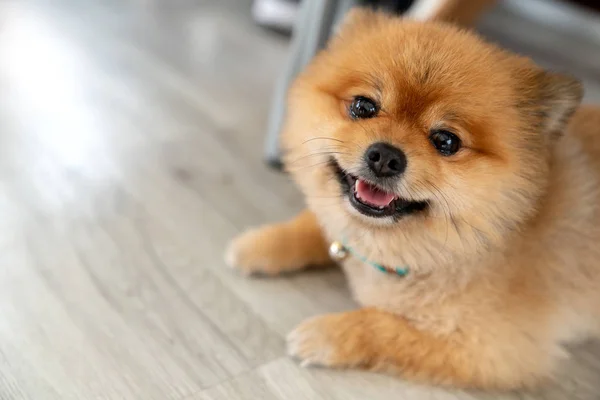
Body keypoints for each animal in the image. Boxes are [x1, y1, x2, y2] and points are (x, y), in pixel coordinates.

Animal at [226, 8, 600, 390]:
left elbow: (383, 327)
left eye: (446, 141)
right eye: (363, 106)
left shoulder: (491, 349)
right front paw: (260, 244)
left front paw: (326, 334)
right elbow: (318, 227)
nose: (385, 157)